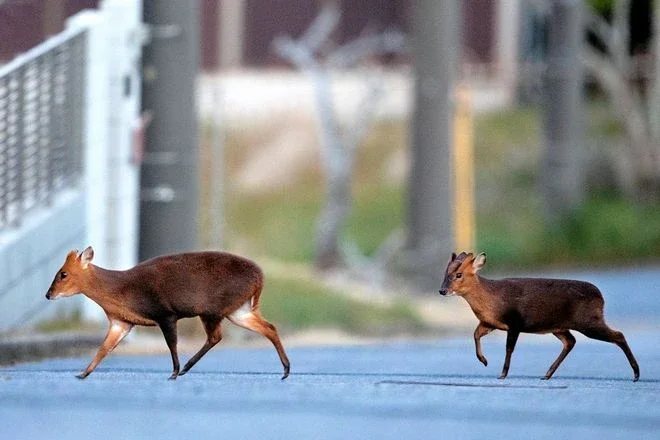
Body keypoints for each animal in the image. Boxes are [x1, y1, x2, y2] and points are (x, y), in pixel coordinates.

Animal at [45, 246, 290, 380]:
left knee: (216, 336)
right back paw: (286, 370)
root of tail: (260, 278)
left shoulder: (165, 314)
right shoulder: (120, 322)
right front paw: (83, 373)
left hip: (213, 309)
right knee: (269, 328)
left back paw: (184, 370)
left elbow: (171, 343)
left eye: (63, 274)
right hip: (238, 310)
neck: (120, 289)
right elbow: (104, 348)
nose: (48, 295)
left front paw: (173, 371)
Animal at [439, 251, 640, 381]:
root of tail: (601, 297)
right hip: (560, 326)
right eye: (445, 273)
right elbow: (475, 334)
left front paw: (503, 374)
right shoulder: (490, 322)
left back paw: (636, 374)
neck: (492, 299)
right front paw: (484, 360)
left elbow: (509, 348)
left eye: (459, 274)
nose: (442, 290)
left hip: (588, 320)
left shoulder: (515, 321)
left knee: (618, 335)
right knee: (570, 341)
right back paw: (547, 374)